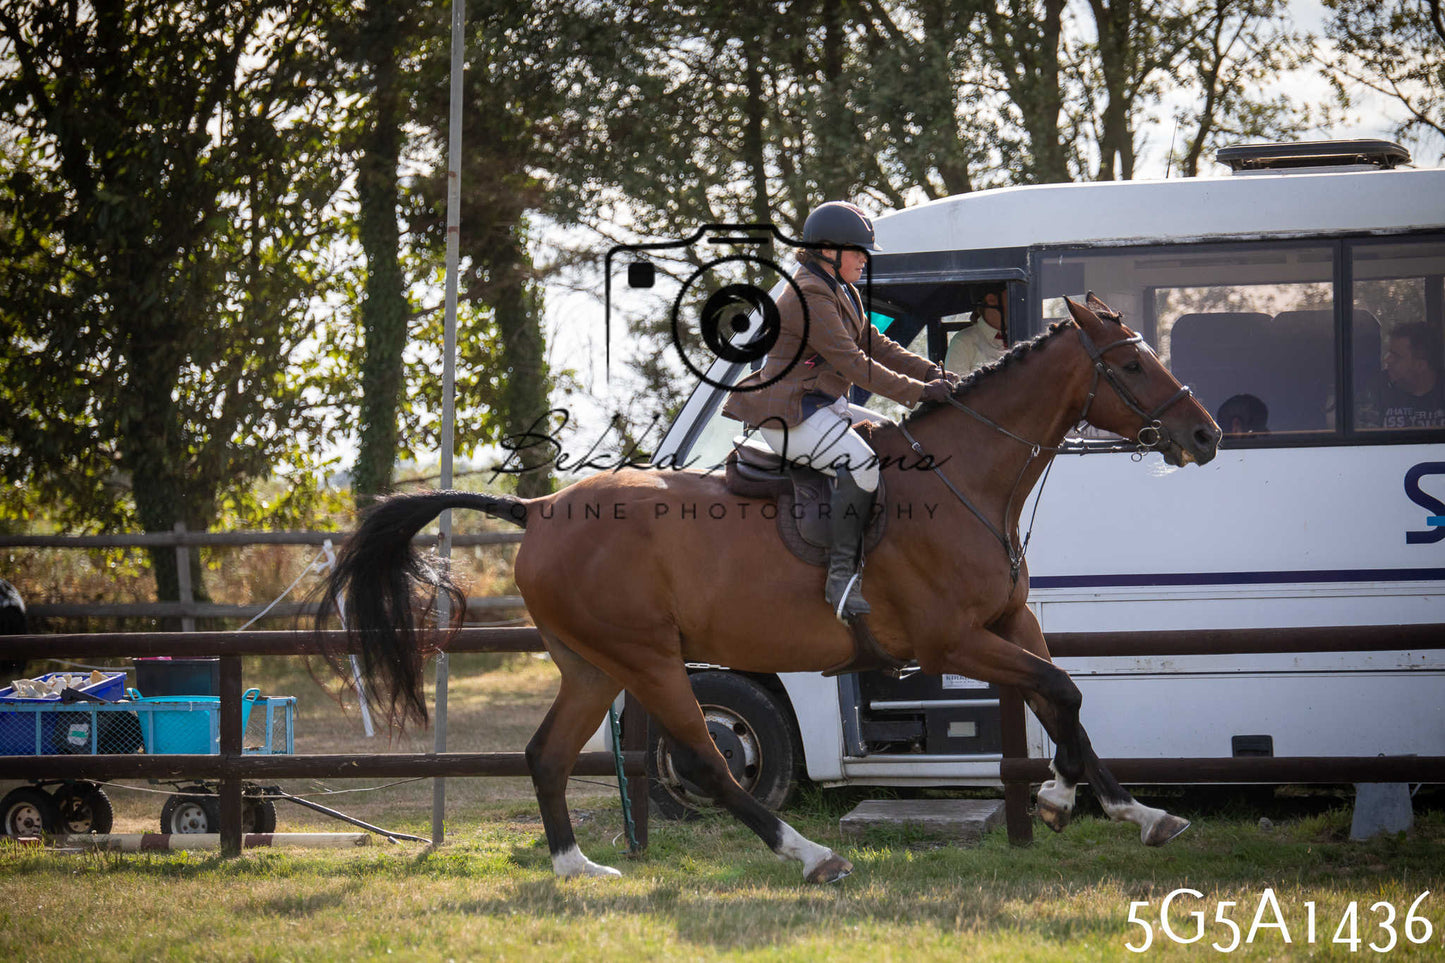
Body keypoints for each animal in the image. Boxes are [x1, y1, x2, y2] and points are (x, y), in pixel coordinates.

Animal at [317, 294, 1222, 883]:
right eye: (1132, 362)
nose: (1206, 433)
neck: (967, 479)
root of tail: (536, 509)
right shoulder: (953, 639)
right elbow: (1057, 691)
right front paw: (1091, 804)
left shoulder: (1011, 620)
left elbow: (1060, 697)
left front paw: (1106, 805)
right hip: (648, 660)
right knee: (708, 757)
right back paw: (811, 856)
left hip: (593, 663)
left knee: (546, 753)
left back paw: (578, 868)